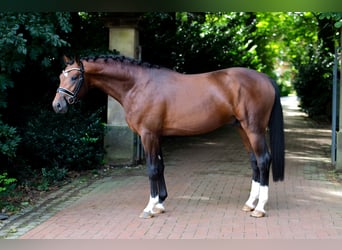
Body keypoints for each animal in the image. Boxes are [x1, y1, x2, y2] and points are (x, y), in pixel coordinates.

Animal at [52, 54, 284, 217]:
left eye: (75, 77)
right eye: (60, 76)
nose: (57, 105)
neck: (138, 85)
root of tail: (265, 78)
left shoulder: (148, 135)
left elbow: (152, 169)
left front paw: (150, 207)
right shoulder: (157, 135)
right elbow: (160, 166)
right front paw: (160, 203)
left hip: (254, 129)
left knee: (264, 160)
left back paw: (260, 209)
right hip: (242, 129)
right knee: (254, 162)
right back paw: (250, 204)